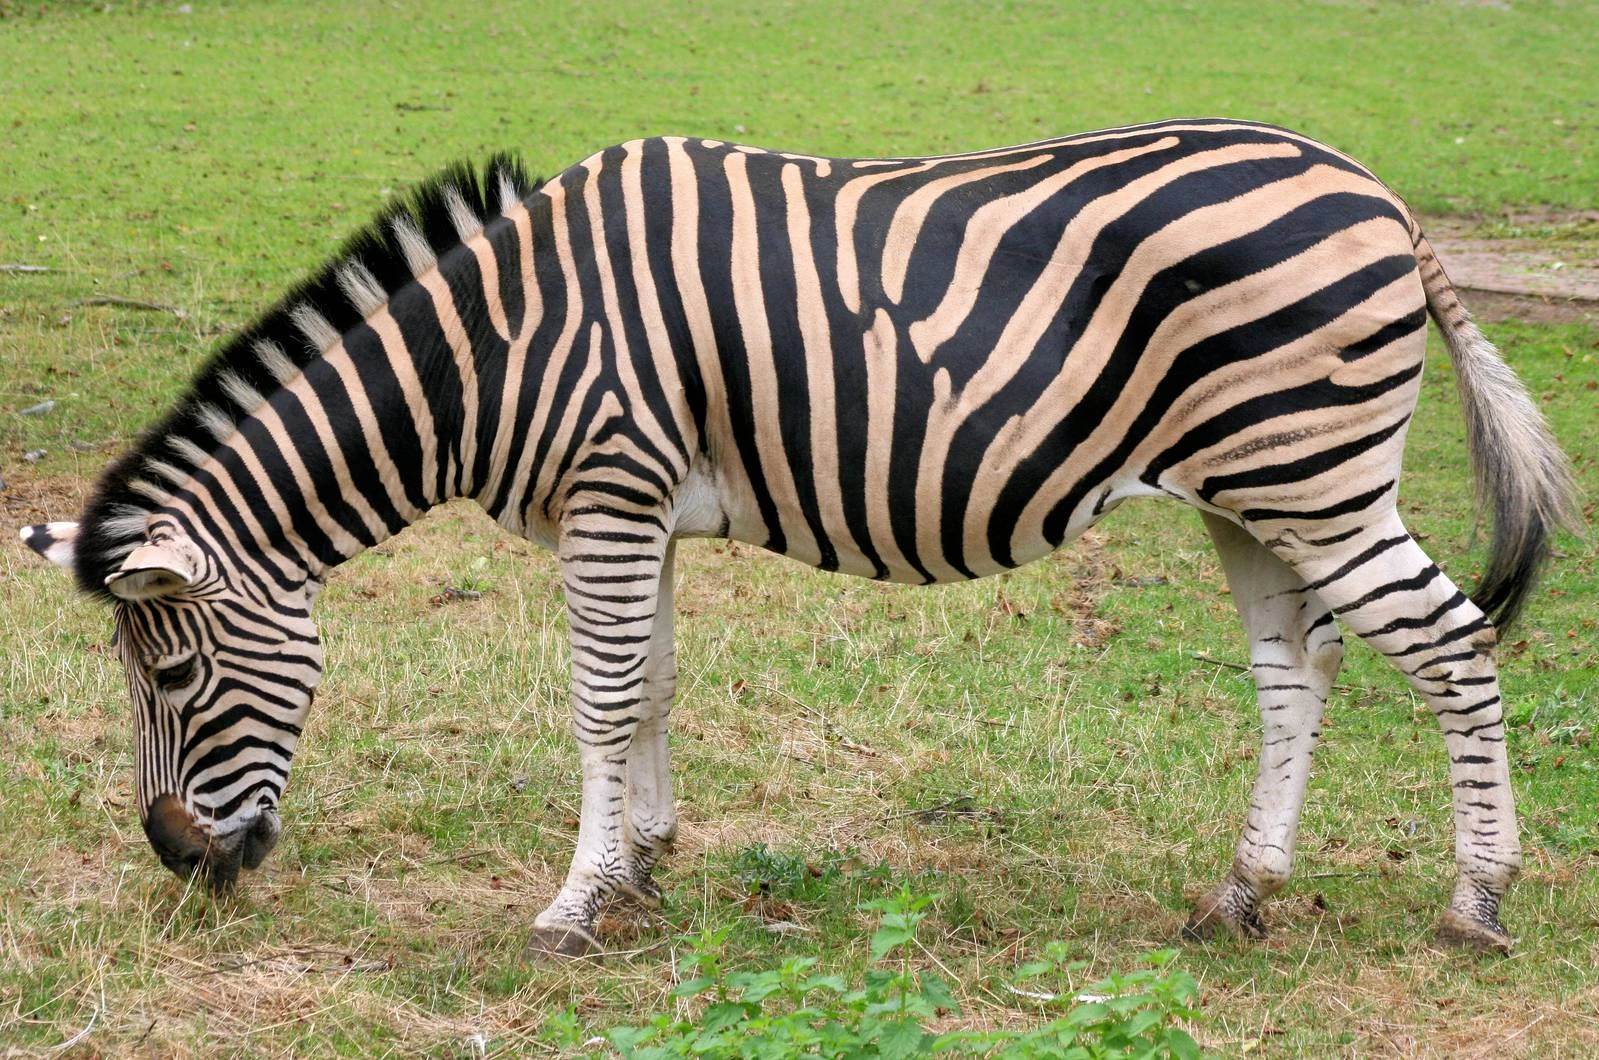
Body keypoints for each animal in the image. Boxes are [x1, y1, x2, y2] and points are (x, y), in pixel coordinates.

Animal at [21, 118, 1574, 958]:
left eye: (168, 677)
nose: (176, 860)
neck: (496, 347)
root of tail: (1380, 195)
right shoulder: (638, 505)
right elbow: (648, 689)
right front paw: (640, 870)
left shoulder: (607, 488)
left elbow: (597, 703)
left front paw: (570, 907)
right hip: (1252, 494)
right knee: (1294, 676)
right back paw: (1242, 893)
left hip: (1315, 478)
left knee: (1449, 646)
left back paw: (1475, 901)